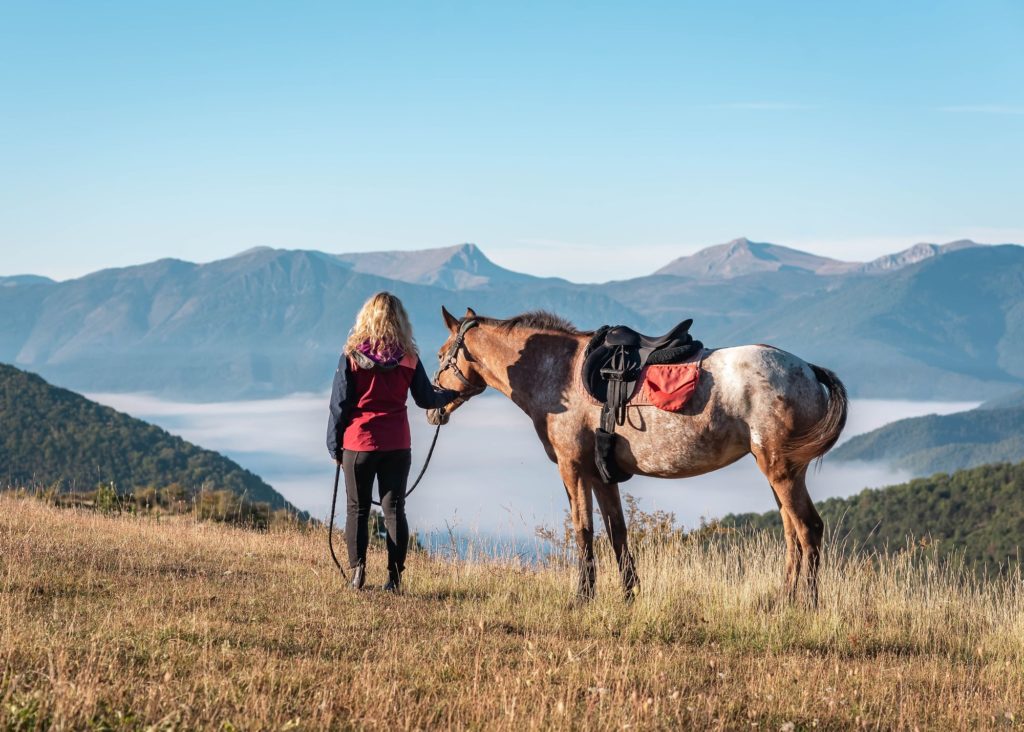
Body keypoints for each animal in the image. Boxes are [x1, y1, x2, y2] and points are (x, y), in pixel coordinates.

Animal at [425, 307, 847, 606]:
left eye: (442, 354)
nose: (433, 408)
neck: (557, 373)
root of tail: (808, 370)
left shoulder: (573, 468)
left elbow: (583, 529)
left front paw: (583, 596)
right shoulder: (601, 474)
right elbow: (617, 531)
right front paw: (628, 594)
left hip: (781, 470)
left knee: (809, 528)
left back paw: (807, 605)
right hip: (780, 472)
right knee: (793, 534)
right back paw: (784, 600)